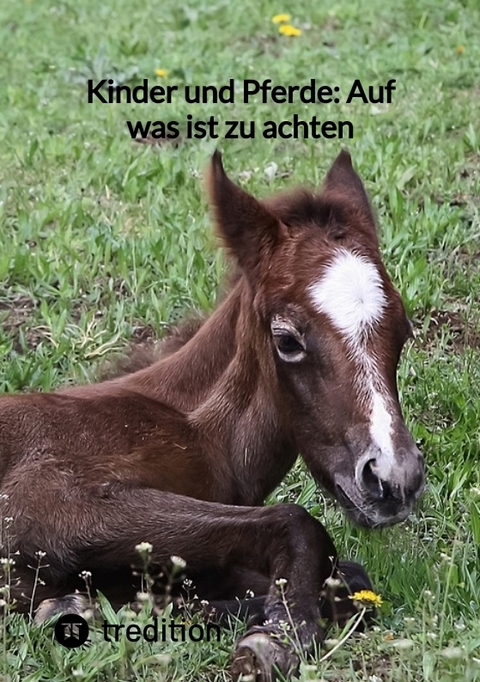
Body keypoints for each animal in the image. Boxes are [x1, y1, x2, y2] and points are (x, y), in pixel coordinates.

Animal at [0, 150, 424, 680]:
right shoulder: (43, 502)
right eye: (287, 340)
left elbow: (349, 579)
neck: (192, 428)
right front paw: (275, 636)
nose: (394, 479)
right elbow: (294, 520)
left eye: (403, 331)